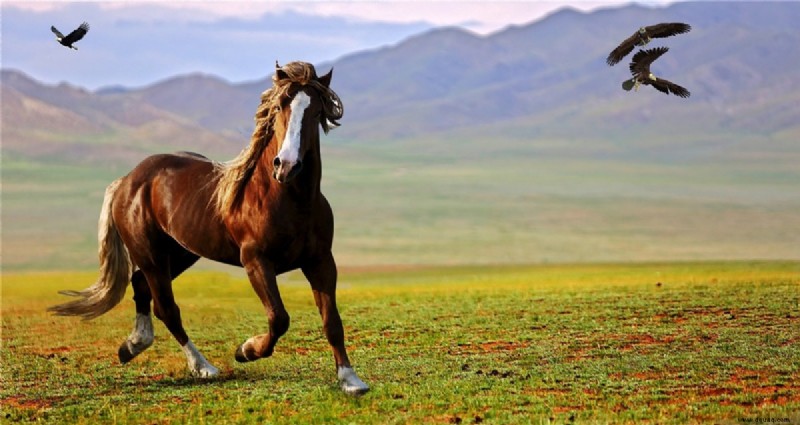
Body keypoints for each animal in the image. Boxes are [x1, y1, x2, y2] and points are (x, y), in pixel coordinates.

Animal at [51, 60, 370, 394]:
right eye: (279, 106)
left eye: (317, 110)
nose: (286, 166)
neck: (287, 199)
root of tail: (127, 180)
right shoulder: (256, 262)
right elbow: (279, 318)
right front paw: (246, 350)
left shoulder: (321, 261)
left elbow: (332, 321)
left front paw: (350, 379)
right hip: (151, 256)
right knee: (167, 308)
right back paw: (203, 366)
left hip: (180, 254)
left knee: (141, 286)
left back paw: (133, 345)